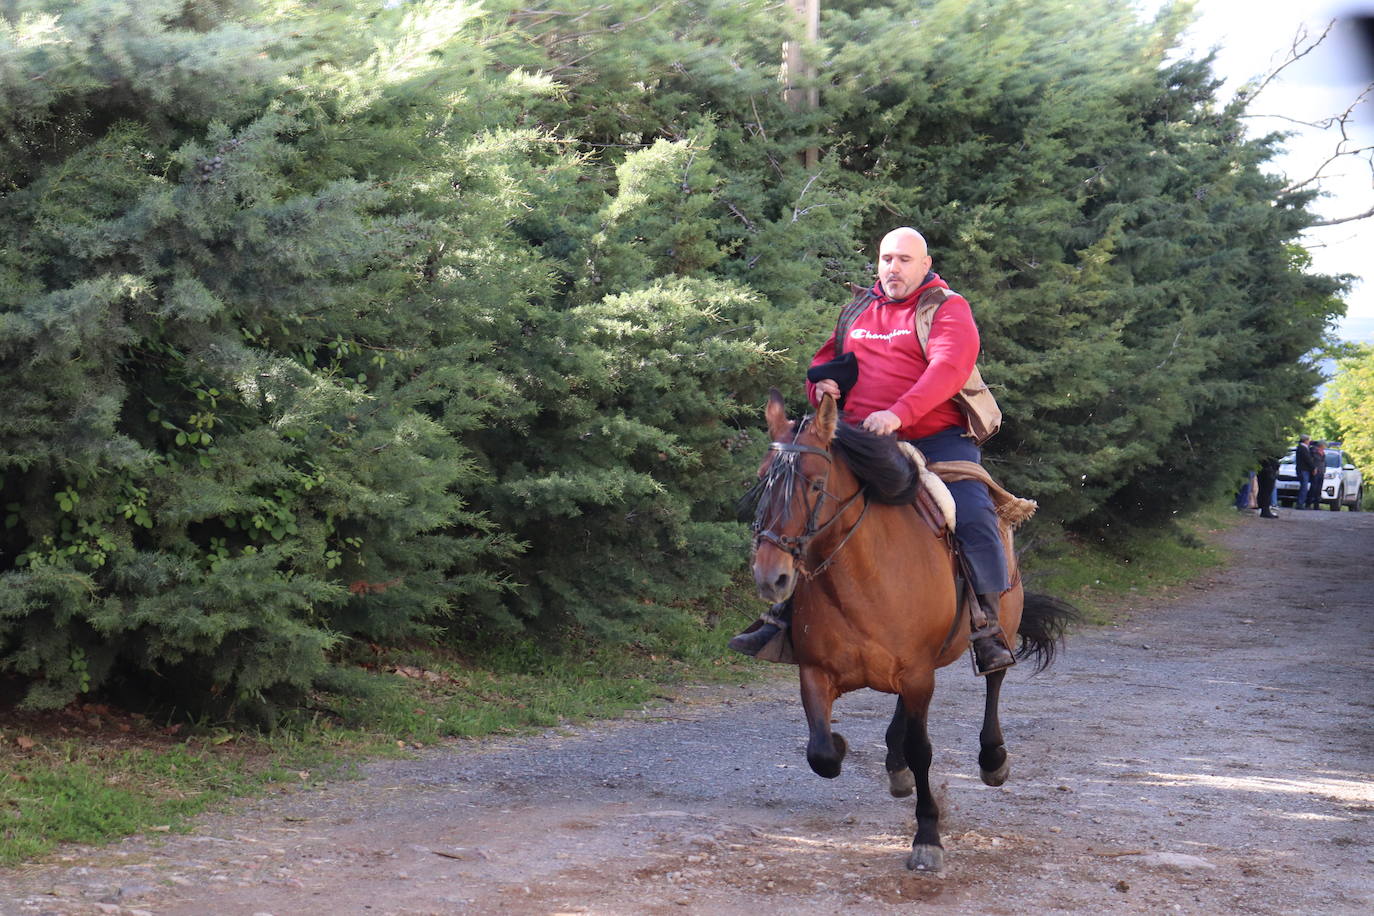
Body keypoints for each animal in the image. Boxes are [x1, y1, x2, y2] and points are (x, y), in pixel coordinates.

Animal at [741, 390, 1071, 873]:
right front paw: (841, 744)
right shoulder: (816, 672)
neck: (864, 578)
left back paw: (992, 758)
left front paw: (928, 838)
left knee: (994, 678)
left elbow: (923, 751)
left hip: (1001, 626)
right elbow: (821, 751)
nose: (772, 577)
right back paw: (894, 763)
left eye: (816, 484)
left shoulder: (917, 675)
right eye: (763, 480)